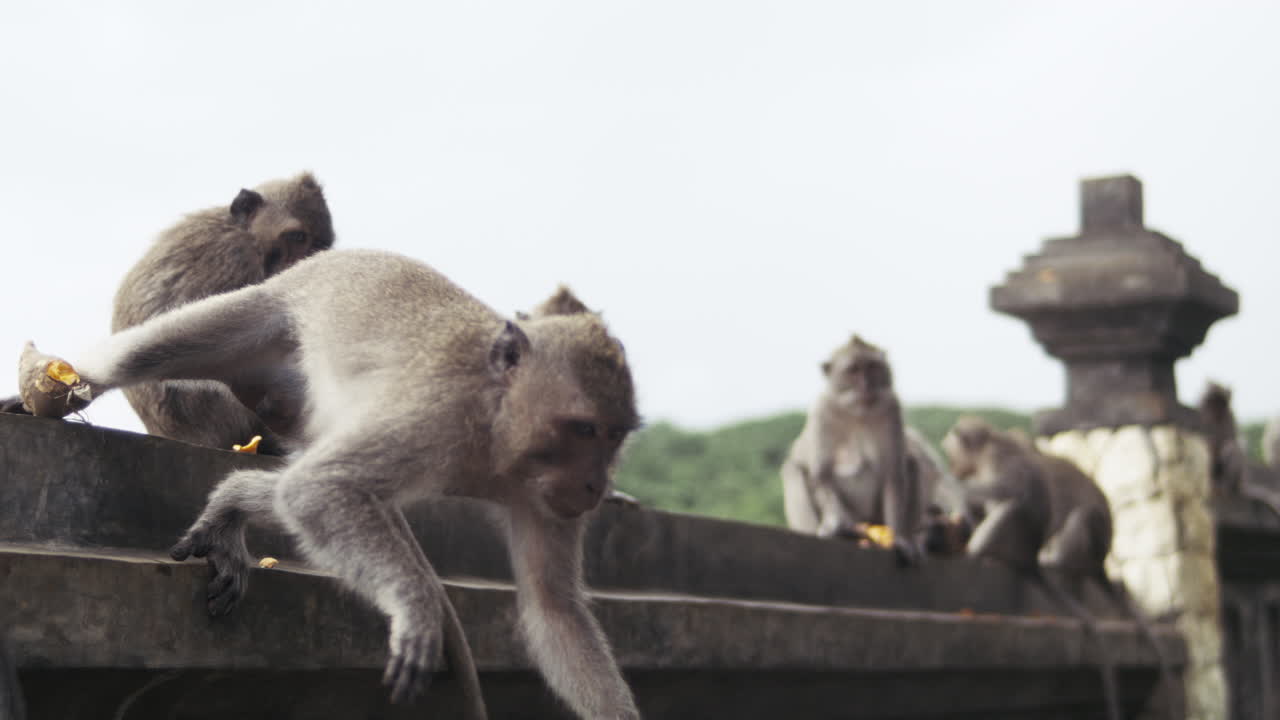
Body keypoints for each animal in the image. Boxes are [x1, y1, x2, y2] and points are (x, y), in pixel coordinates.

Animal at [18, 249, 641, 720]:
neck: (498, 424)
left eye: (614, 435)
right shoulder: (435, 413)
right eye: (584, 429)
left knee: (305, 488)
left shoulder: (543, 496)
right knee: (159, 351)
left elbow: (554, 608)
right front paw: (415, 609)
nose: (594, 485)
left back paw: (233, 504)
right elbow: (320, 489)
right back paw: (63, 381)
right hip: (274, 313)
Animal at [780, 335, 943, 564]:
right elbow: (822, 474)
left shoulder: (892, 409)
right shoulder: (823, 411)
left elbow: (893, 475)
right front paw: (841, 528)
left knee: (912, 464)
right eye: (853, 370)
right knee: (793, 469)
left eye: (872, 367)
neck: (857, 413)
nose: (867, 386)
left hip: (876, 517)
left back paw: (912, 538)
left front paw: (900, 539)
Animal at [942, 416, 1175, 720]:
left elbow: (1008, 491)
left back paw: (986, 553)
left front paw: (954, 487)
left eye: (951, 454)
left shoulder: (1000, 460)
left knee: (1039, 512)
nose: (953, 468)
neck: (987, 450)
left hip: (1045, 544)